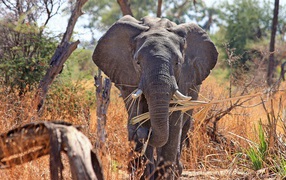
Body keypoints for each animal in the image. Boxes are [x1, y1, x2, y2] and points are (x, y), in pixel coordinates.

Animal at [92, 15, 218, 180]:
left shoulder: (184, 77)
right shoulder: (128, 76)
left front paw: (162, 175)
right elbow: (136, 111)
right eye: (138, 63)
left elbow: (174, 122)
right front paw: (143, 172)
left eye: (178, 63)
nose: (144, 132)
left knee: (184, 126)